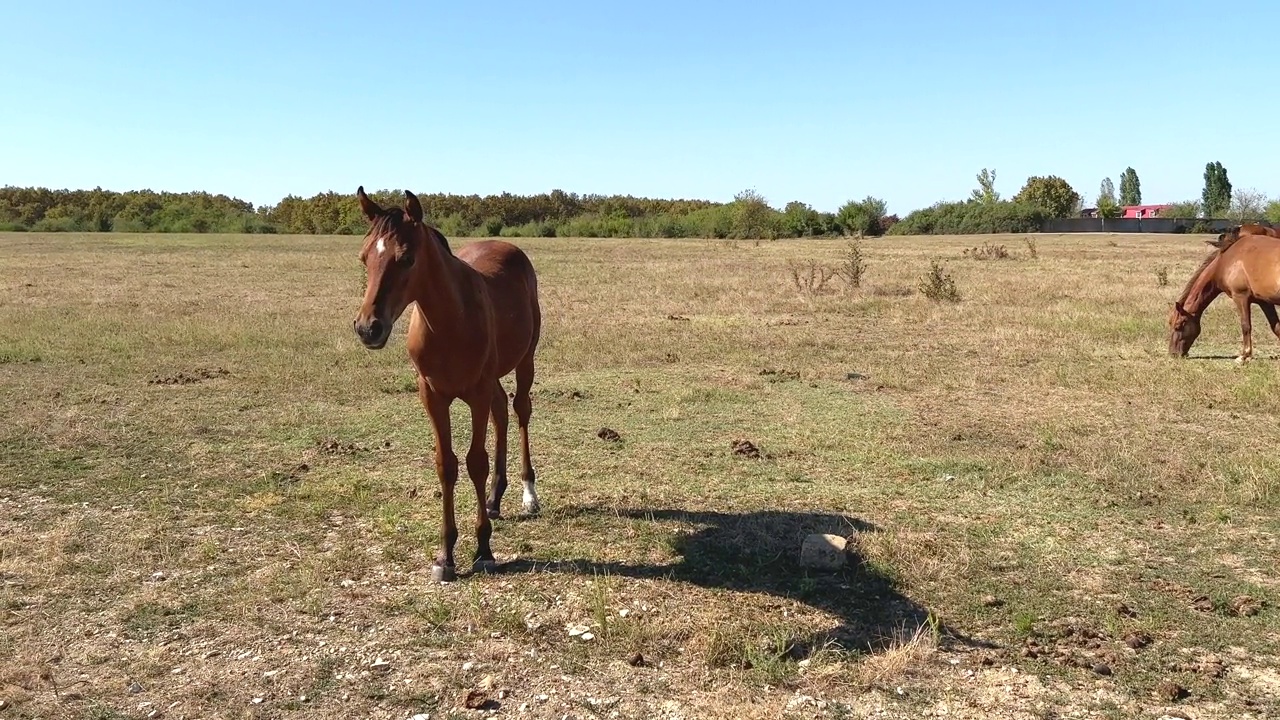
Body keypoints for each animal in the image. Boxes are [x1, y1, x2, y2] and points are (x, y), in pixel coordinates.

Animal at [350, 184, 540, 576]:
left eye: (406, 258)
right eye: (364, 258)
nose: (367, 328)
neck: (451, 322)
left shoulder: (476, 393)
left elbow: (475, 462)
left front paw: (483, 548)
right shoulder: (433, 395)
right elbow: (446, 465)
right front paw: (445, 554)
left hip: (525, 360)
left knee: (519, 410)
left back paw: (529, 494)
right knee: (502, 410)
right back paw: (495, 498)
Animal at [1172, 228, 1280, 361]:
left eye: (1178, 326)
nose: (1173, 354)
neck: (1225, 261)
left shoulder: (1240, 297)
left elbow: (1246, 325)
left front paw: (1244, 356)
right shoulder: (1264, 302)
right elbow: (1276, 327)